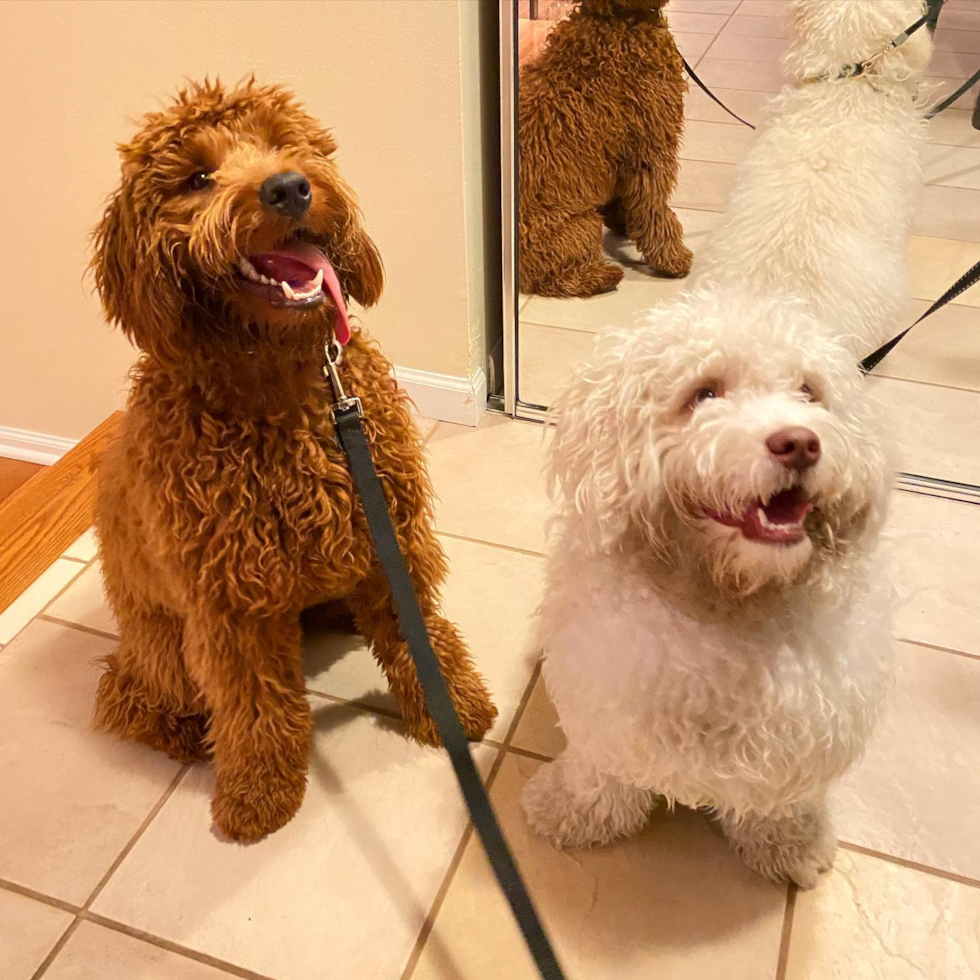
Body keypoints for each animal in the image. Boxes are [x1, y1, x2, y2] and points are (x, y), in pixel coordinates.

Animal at [92, 78, 498, 844]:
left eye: (285, 144)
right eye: (196, 178)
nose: (287, 188)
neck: (286, 386)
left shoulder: (390, 537)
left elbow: (420, 634)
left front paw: (455, 708)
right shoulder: (231, 606)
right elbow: (257, 706)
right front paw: (259, 793)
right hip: (163, 648)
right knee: (129, 699)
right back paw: (185, 735)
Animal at [516, 0, 692, 298]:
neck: (618, 20)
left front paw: (623, 225)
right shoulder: (650, 150)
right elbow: (654, 210)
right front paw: (672, 258)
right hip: (581, 224)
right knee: (554, 279)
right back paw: (603, 276)